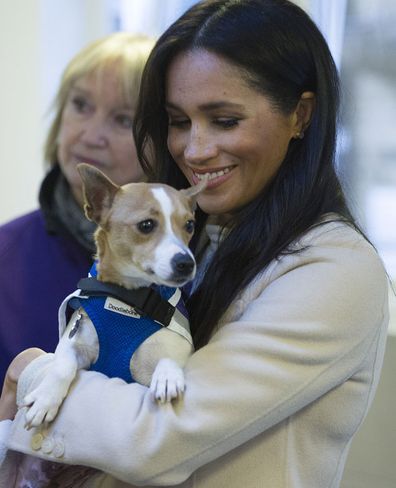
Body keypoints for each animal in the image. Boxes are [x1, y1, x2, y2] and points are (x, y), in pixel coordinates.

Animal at [24, 164, 204, 428]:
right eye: (146, 225)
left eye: (189, 225)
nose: (186, 263)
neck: (129, 298)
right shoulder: (73, 342)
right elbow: (62, 366)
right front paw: (45, 399)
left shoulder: (177, 348)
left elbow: (170, 357)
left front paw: (168, 376)